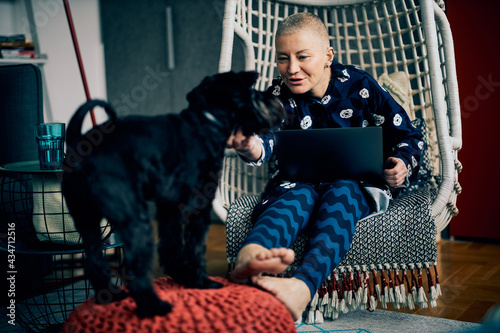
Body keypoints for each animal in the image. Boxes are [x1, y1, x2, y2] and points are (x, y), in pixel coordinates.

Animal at [60, 70, 284, 316]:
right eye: (252, 91)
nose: (276, 102)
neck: (206, 121)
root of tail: (80, 146)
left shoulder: (169, 207)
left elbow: (171, 244)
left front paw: (181, 276)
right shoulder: (200, 206)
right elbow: (195, 248)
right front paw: (201, 281)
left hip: (86, 220)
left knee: (93, 261)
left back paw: (110, 295)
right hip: (134, 220)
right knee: (135, 267)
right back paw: (154, 307)